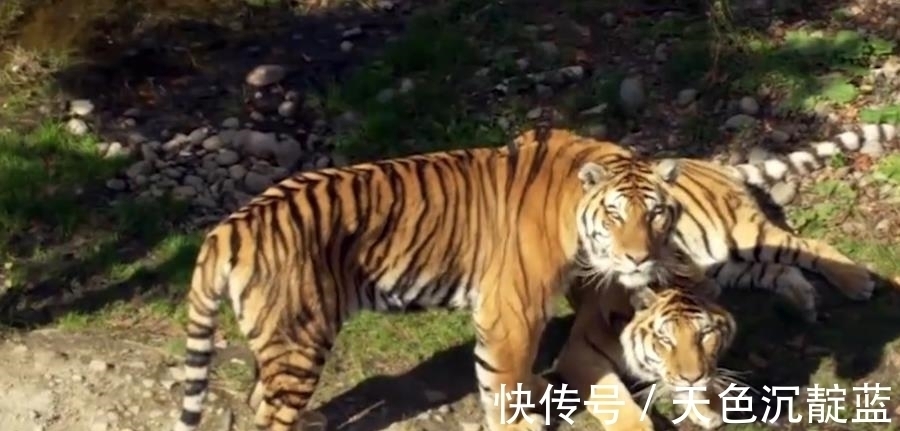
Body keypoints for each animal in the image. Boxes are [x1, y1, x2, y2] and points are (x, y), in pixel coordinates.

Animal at [171, 129, 688, 431]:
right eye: (614, 214)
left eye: (656, 213)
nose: (640, 258)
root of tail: (226, 228)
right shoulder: (510, 310)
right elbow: (501, 378)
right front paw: (516, 423)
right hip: (299, 338)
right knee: (268, 412)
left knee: (259, 396)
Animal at [511, 123, 895, 323]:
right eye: (614, 215)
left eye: (654, 213)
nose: (636, 257)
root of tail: (717, 166)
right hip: (724, 260)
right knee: (778, 270)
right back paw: (803, 301)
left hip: (743, 233)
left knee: (808, 246)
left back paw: (856, 282)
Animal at [554, 272, 738, 431]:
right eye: (666, 340)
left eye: (704, 334)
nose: (693, 379)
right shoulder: (579, 352)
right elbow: (607, 390)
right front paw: (633, 427)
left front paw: (711, 405)